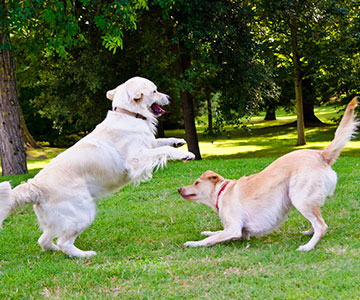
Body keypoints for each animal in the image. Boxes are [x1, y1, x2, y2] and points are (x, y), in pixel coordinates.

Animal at [0, 76, 195, 256]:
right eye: (155, 91)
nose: (169, 97)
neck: (128, 114)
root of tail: (34, 186)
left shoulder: (148, 144)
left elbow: (160, 141)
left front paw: (178, 141)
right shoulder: (135, 161)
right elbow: (163, 149)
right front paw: (184, 154)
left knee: (44, 240)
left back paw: (56, 251)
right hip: (82, 213)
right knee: (63, 242)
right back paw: (84, 255)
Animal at [179, 98, 358, 251]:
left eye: (196, 182)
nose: (179, 189)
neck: (222, 192)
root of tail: (321, 154)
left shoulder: (234, 229)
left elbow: (209, 240)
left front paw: (193, 243)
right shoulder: (239, 232)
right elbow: (215, 233)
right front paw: (206, 232)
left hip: (299, 197)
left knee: (321, 226)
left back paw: (308, 246)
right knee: (317, 221)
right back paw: (309, 232)